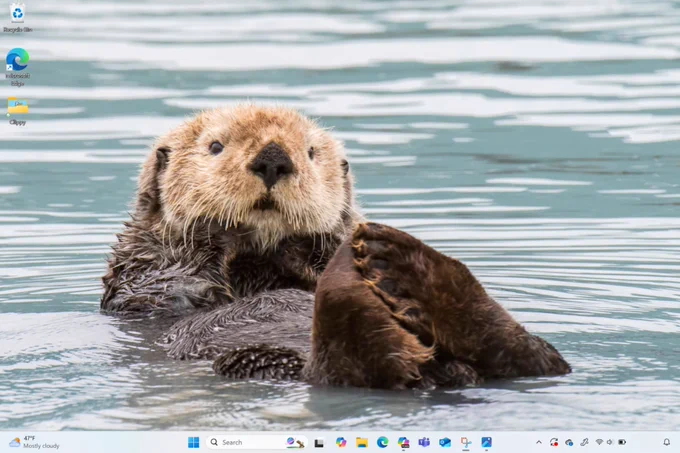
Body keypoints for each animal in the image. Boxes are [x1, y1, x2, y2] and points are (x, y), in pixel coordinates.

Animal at [102, 105, 571, 389]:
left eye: (310, 152)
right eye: (214, 146)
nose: (273, 158)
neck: (258, 263)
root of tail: (436, 373)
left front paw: (316, 246)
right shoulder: (141, 270)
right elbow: (170, 286)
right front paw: (218, 230)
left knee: (536, 358)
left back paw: (404, 266)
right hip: (257, 360)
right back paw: (362, 287)